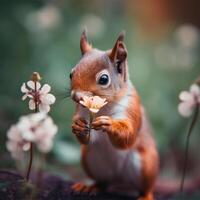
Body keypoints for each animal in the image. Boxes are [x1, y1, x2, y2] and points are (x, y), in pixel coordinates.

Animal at [69, 30, 159, 200]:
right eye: (71, 73)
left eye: (104, 79)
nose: (76, 97)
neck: (104, 107)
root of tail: (120, 180)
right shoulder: (82, 111)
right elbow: (88, 139)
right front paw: (78, 125)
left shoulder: (131, 107)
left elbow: (127, 137)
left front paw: (109, 124)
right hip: (90, 160)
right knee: (103, 182)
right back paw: (91, 186)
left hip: (146, 165)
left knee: (147, 188)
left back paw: (146, 196)